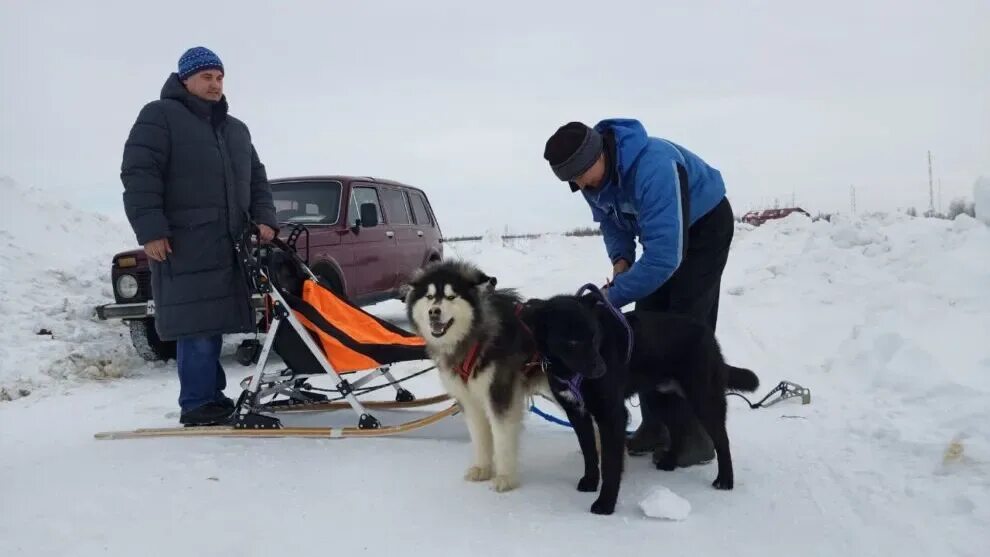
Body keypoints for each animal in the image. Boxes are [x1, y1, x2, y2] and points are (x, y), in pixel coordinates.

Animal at [406, 260, 556, 490]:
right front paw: (482, 469)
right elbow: (479, 436)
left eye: (451, 297)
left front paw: (505, 477)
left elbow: (501, 437)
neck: (472, 339)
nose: (434, 312)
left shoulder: (499, 395)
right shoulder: (469, 400)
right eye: (429, 296)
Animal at [520, 288, 760, 516]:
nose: (601, 370)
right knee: (679, 429)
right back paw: (669, 462)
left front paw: (605, 504)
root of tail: (708, 335)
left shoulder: (612, 416)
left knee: (722, 440)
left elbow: (610, 464)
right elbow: (589, 453)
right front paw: (590, 481)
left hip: (704, 399)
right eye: (572, 341)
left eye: (594, 336)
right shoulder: (577, 414)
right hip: (658, 399)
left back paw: (725, 480)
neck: (569, 371)